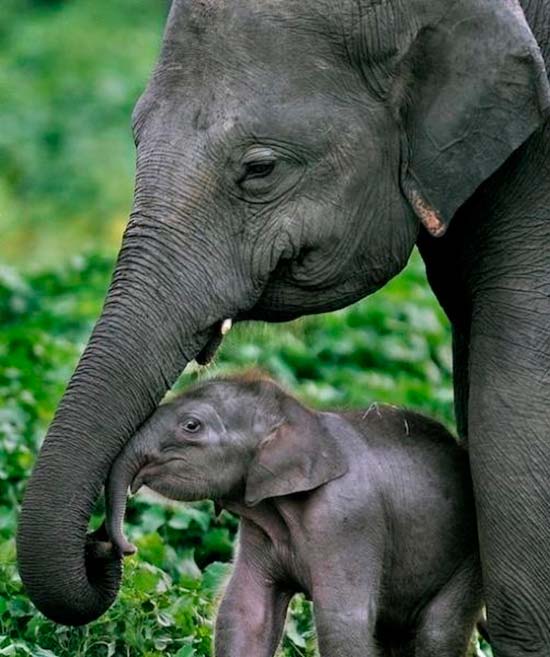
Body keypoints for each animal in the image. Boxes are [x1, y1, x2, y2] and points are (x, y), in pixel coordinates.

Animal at [106, 376, 484, 652]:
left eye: (191, 426)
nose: (129, 548)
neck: (303, 417)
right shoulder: (258, 526)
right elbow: (245, 611)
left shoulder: (348, 521)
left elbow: (341, 622)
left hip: (467, 561)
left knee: (437, 633)